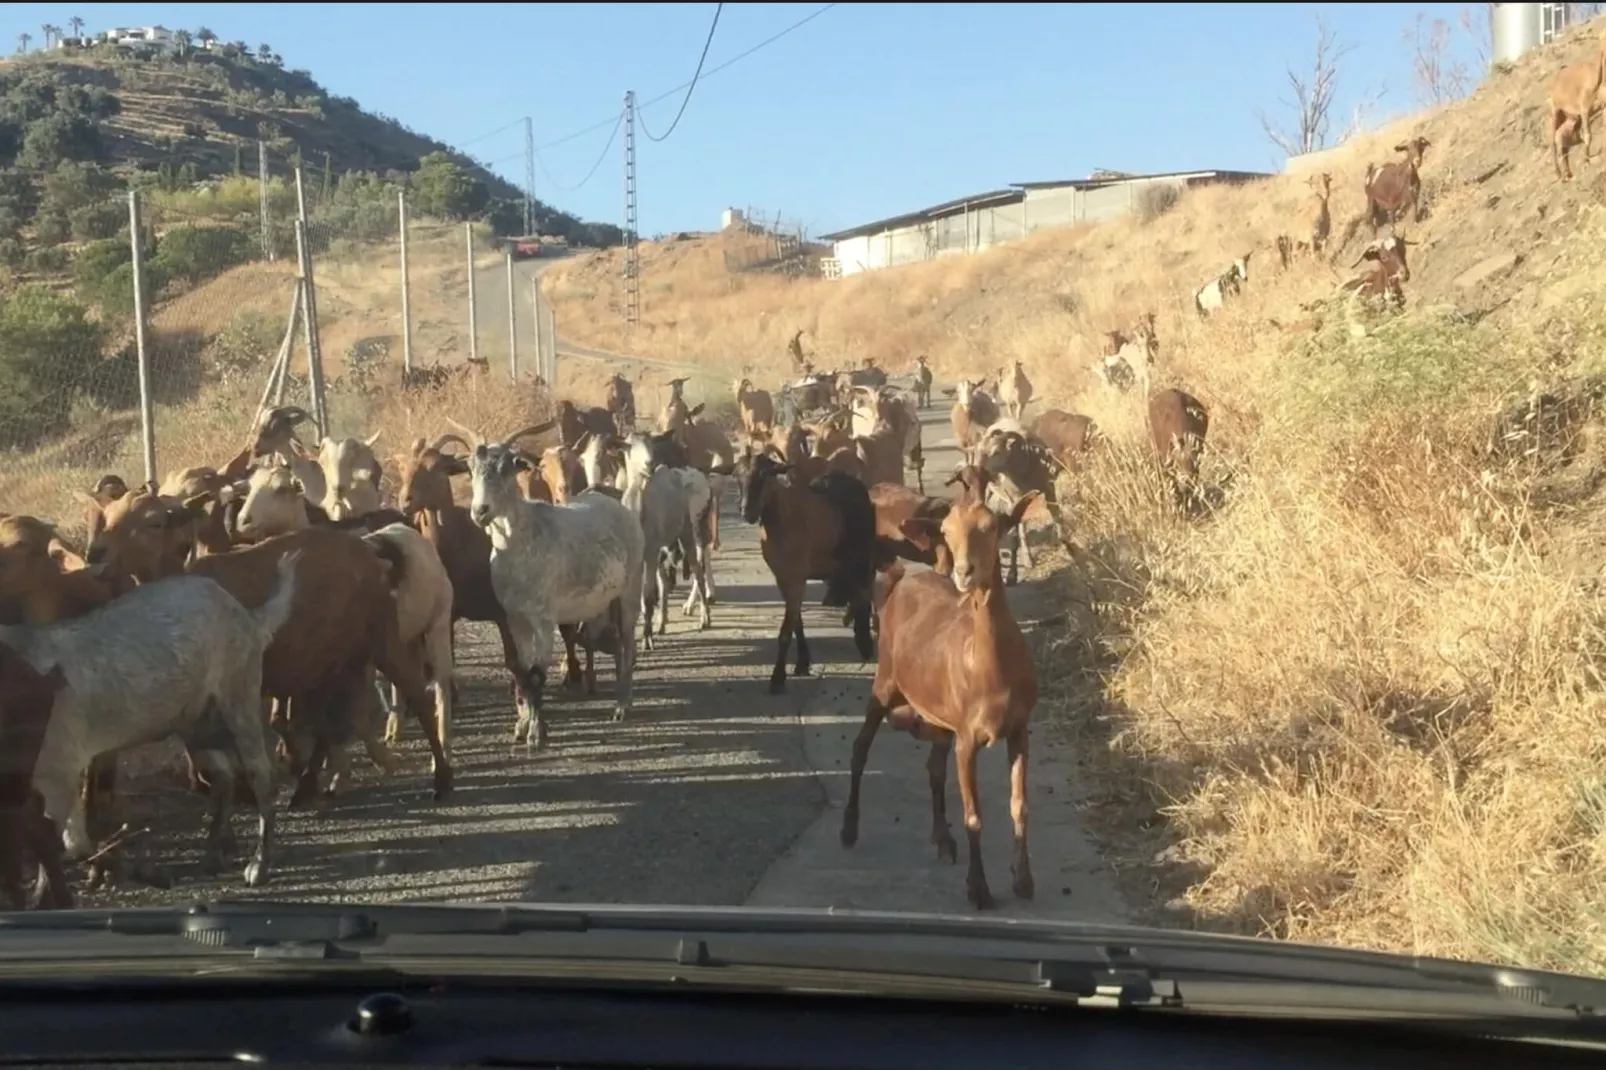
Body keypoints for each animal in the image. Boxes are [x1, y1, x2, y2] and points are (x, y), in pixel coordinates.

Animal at [0, 546, 301, 886]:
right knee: (223, 775)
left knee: (260, 776)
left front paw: (124, 870)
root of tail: (248, 616)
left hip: (239, 694)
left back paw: (258, 866)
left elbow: (68, 843)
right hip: (195, 721)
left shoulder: (59, 765)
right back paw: (211, 856)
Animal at [462, 430, 642, 745]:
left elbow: (536, 675)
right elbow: (522, 672)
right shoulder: (515, 619)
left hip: (631, 588)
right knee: (617, 643)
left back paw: (621, 706)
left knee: (628, 641)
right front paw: (521, 727)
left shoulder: (544, 620)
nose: (480, 511)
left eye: (506, 468)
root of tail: (623, 509)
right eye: (472, 467)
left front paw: (537, 733)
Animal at [841, 465, 1040, 906]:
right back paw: (848, 829)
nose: (964, 572)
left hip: (938, 716)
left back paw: (943, 841)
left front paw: (1023, 880)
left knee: (933, 767)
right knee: (860, 746)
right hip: (885, 681)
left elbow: (1019, 805)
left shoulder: (1019, 729)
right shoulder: (967, 736)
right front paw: (978, 889)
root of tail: (903, 581)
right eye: (946, 531)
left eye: (992, 526)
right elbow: (974, 815)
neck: (990, 669)